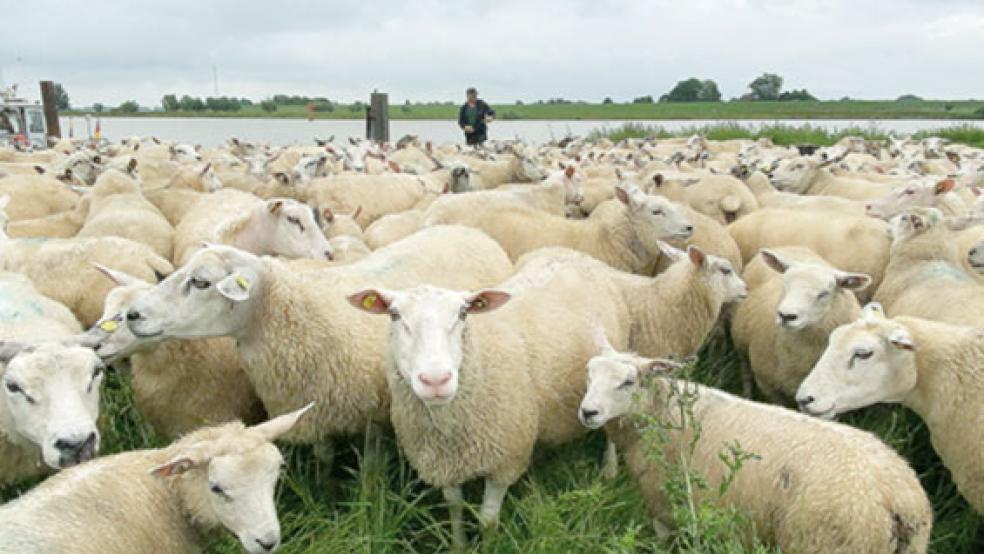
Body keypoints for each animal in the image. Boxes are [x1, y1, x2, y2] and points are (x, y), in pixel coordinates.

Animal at [123, 226, 514, 456]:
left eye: (201, 282)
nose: (132, 314)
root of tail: (469, 230)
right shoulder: (313, 409)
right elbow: (324, 463)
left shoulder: (373, 418)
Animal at [579, 339, 931, 553]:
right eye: (588, 375)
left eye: (627, 382)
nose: (588, 412)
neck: (662, 414)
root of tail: (900, 499)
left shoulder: (663, 507)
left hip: (824, 542)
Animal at [730, 248, 870, 399]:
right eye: (785, 285)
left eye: (824, 293)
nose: (786, 316)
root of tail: (790, 246)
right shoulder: (769, 386)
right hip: (741, 342)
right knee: (746, 372)